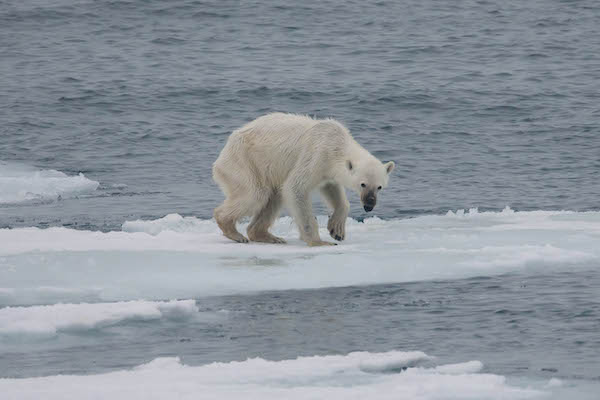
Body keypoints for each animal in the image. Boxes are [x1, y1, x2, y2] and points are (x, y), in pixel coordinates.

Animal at [211, 112, 394, 247]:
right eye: (363, 184)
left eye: (379, 187)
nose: (369, 205)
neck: (336, 144)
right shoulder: (316, 154)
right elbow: (296, 188)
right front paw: (319, 242)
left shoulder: (327, 170)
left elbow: (332, 189)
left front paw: (337, 230)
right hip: (244, 162)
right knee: (255, 194)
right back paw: (234, 231)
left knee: (274, 197)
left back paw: (268, 236)